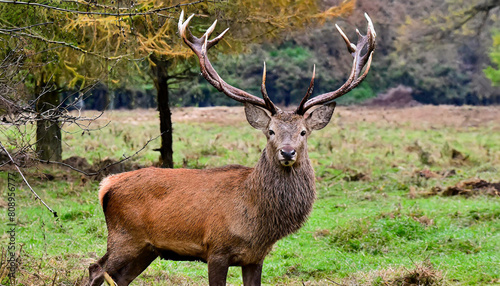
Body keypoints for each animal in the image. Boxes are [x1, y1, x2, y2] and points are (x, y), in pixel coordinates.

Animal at [88, 10, 376, 284]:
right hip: (125, 237)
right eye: (270, 131)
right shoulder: (216, 249)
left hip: (146, 248)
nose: (287, 152)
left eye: (303, 132)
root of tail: (106, 185)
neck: (257, 222)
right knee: (95, 268)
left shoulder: (255, 257)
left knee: (117, 277)